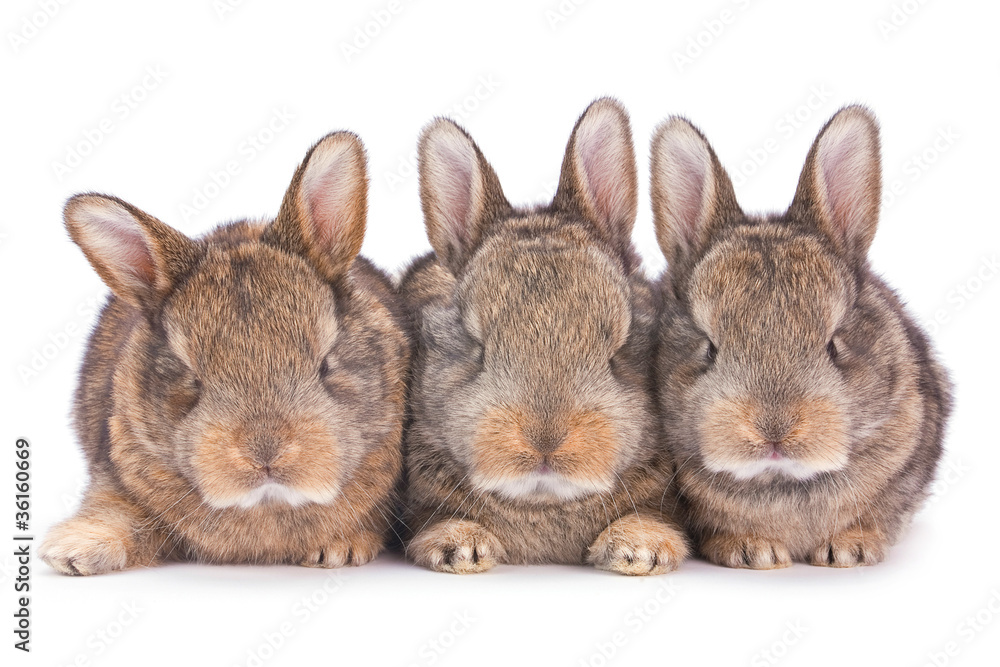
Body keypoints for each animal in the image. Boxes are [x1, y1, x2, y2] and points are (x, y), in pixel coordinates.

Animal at [42, 132, 410, 576]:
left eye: (326, 363)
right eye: (191, 377)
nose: (265, 454)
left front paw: (339, 549)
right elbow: (115, 510)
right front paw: (73, 551)